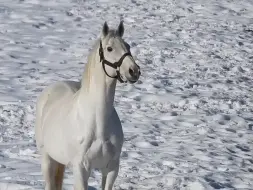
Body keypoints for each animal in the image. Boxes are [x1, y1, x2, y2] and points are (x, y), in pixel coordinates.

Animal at [35, 21, 141, 190]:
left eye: (128, 46)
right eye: (109, 48)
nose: (134, 71)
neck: (98, 123)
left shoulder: (111, 168)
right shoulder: (81, 168)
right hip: (47, 159)